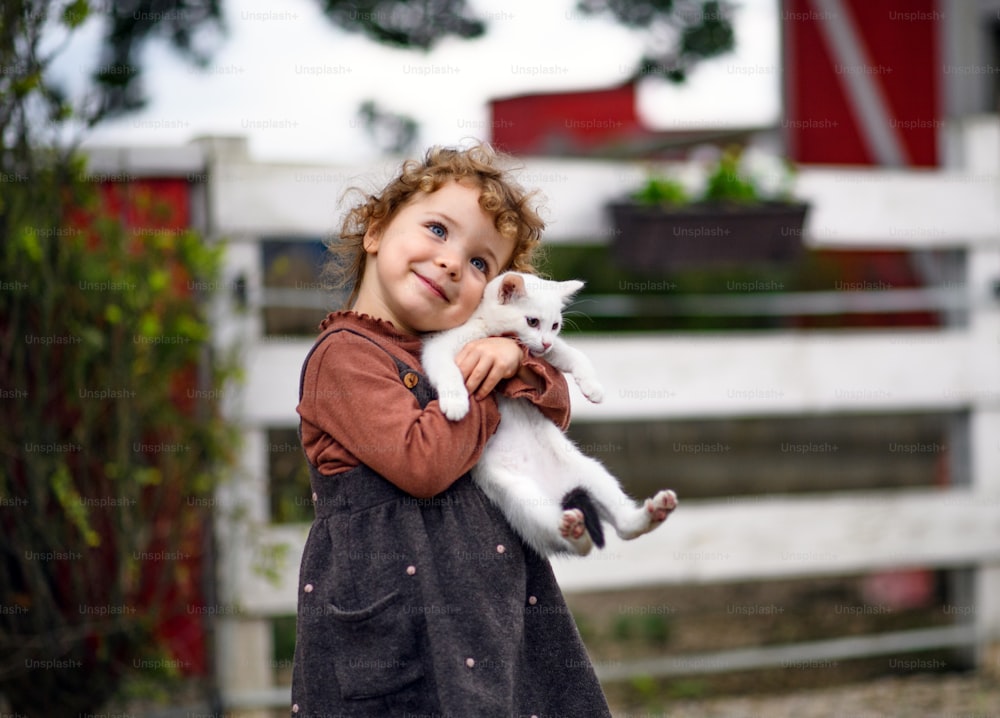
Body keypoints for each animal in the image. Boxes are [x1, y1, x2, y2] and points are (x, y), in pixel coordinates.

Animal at [422, 272, 680, 560]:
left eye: (555, 325)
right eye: (532, 321)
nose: (545, 341)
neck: (489, 327)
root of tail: (557, 493)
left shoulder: (545, 351)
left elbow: (573, 354)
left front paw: (593, 387)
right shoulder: (440, 345)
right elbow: (446, 368)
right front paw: (456, 402)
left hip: (591, 473)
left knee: (622, 527)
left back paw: (651, 513)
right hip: (522, 500)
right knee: (573, 540)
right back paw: (577, 532)